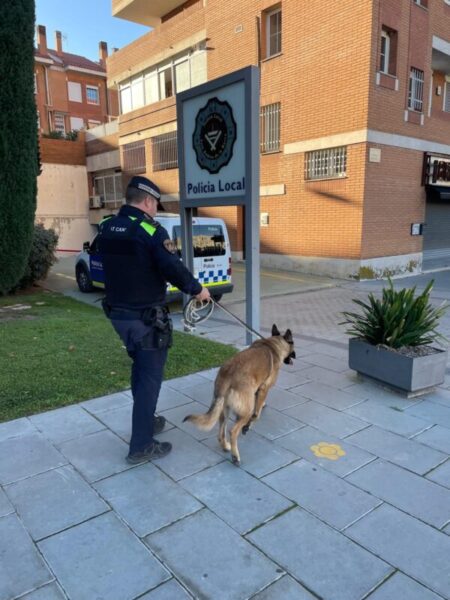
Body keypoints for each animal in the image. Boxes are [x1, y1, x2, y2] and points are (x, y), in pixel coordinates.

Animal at [183, 326, 296, 466]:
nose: (295, 355)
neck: (274, 344)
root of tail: (228, 373)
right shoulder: (263, 390)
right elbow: (256, 415)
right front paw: (247, 427)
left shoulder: (256, 391)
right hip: (245, 409)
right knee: (233, 431)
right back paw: (235, 456)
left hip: (223, 410)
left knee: (221, 433)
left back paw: (226, 447)